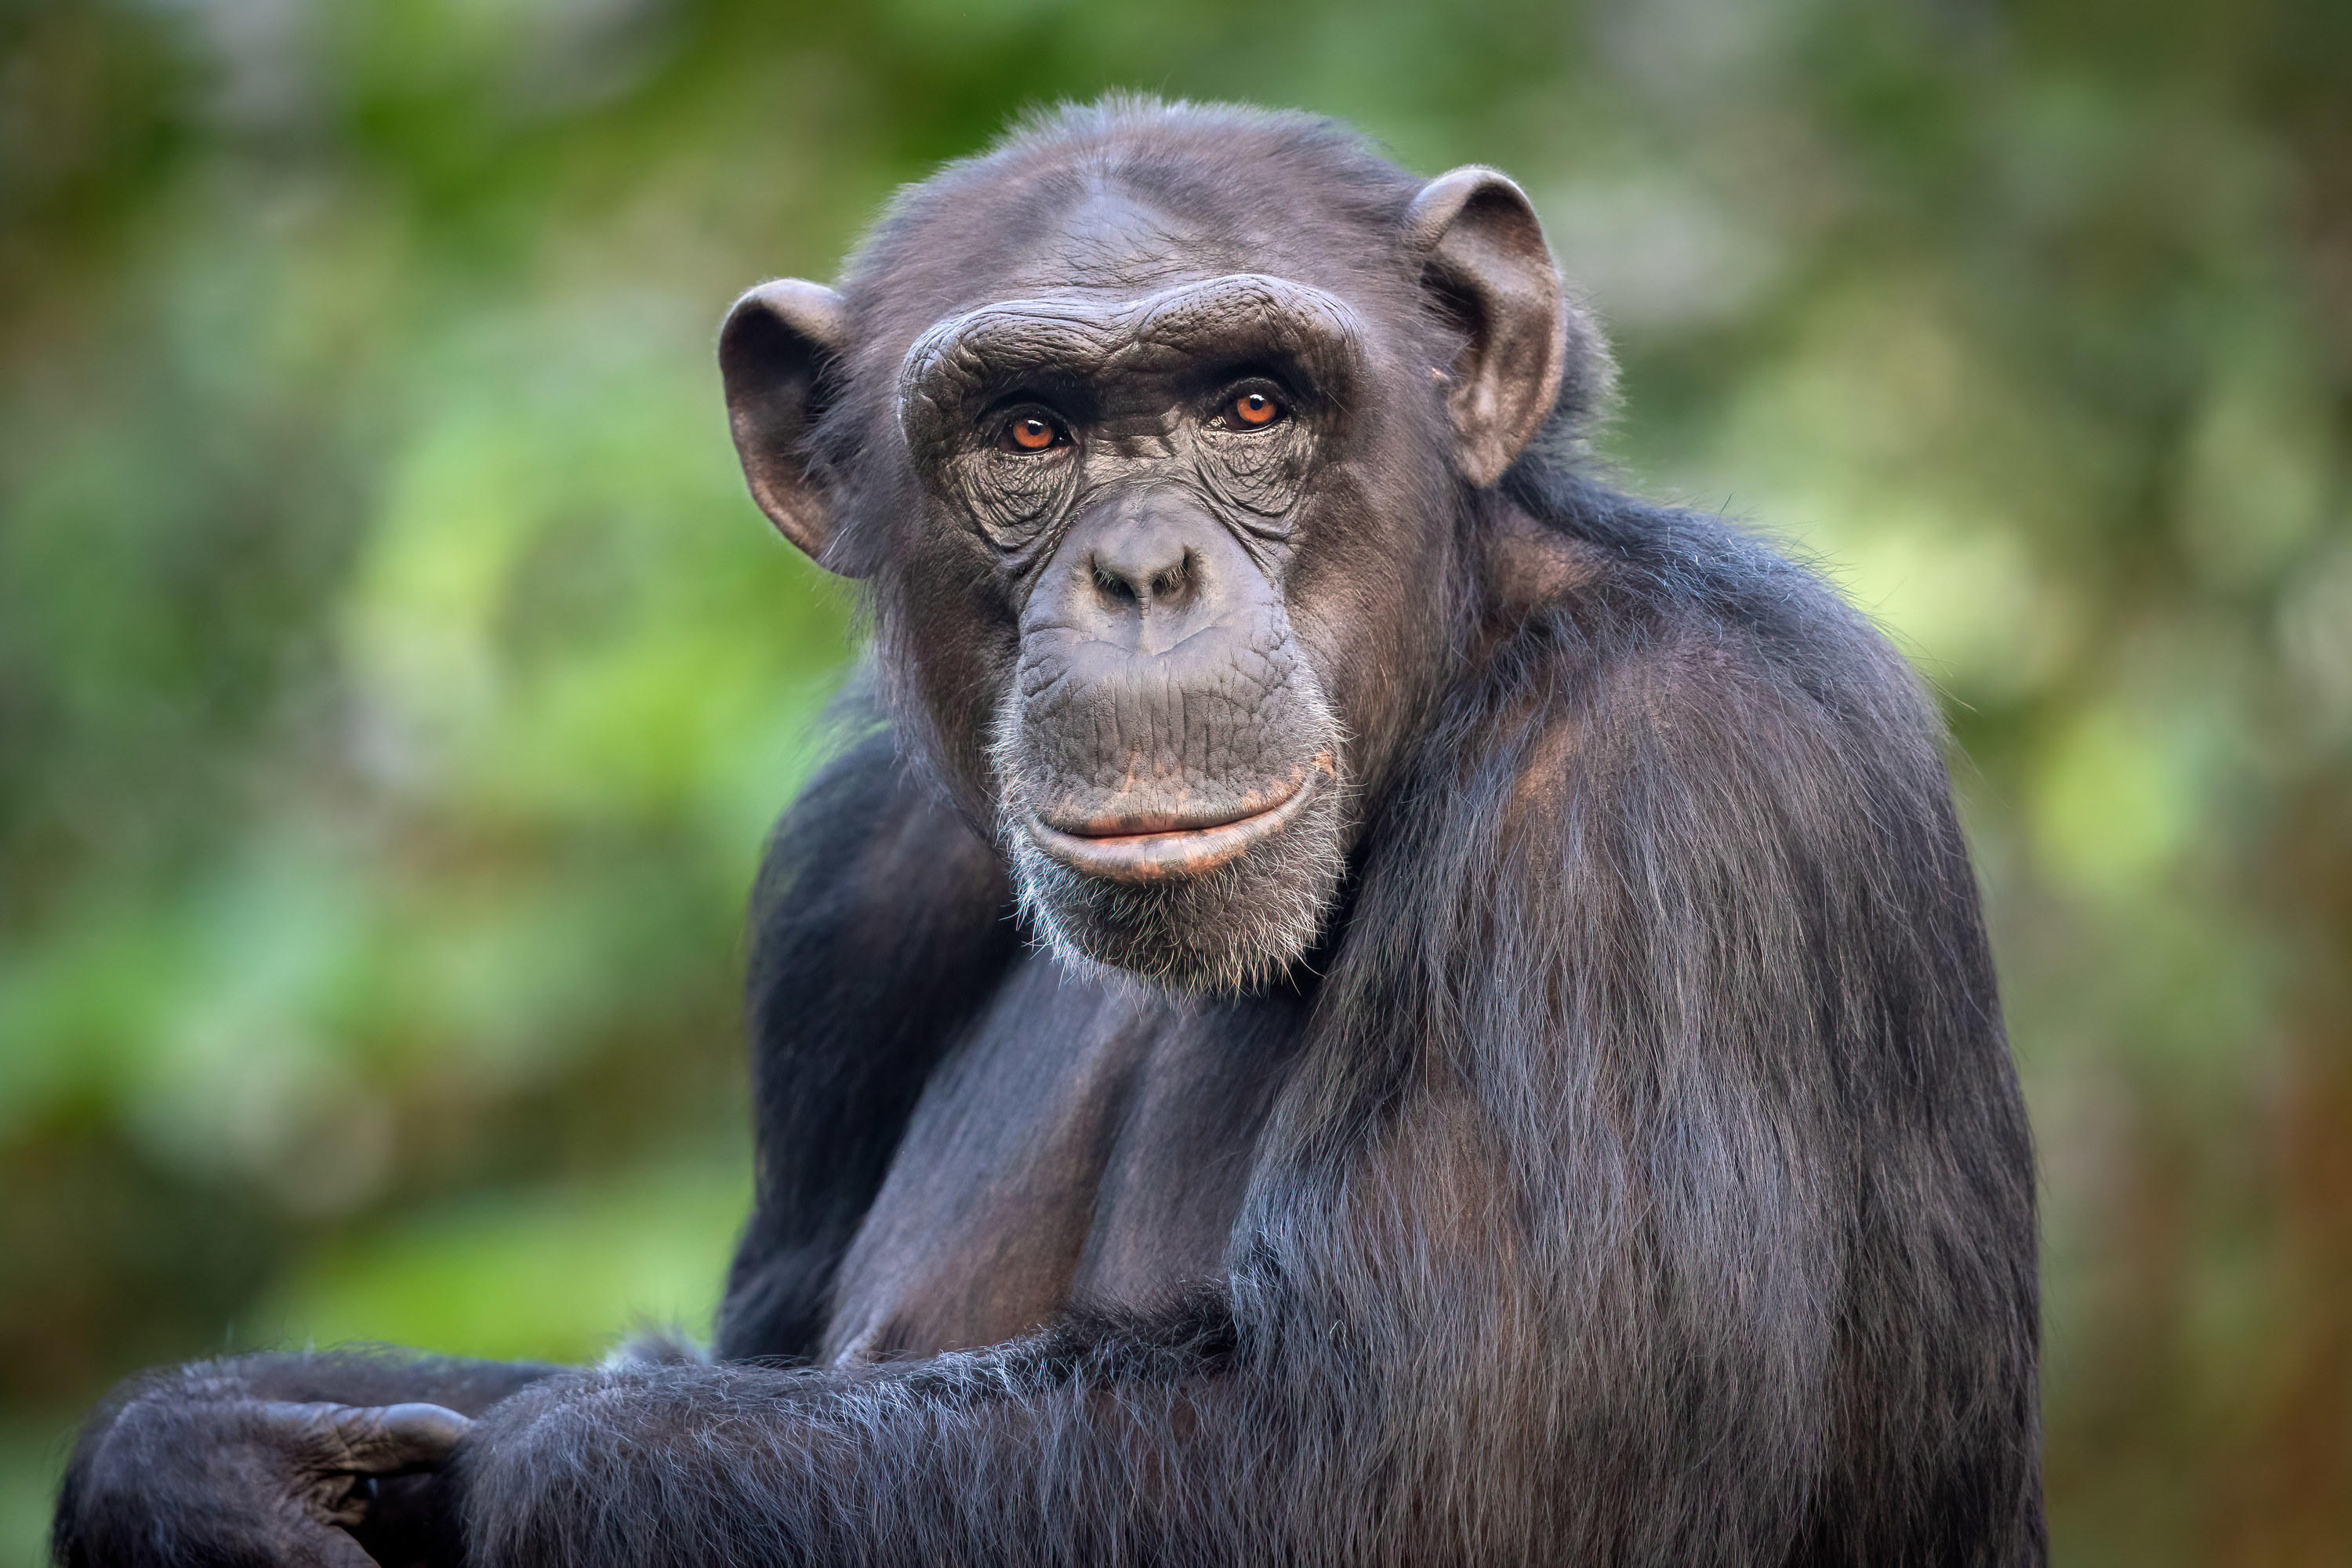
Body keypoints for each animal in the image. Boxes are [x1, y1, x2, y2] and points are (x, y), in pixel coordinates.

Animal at [50, 98, 2042, 1568]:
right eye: (1026, 432)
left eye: (1253, 402)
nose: (1144, 570)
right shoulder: (854, 877)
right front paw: (191, 1458)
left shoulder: (1648, 798)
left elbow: (1416, 1469)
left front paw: (528, 1459)